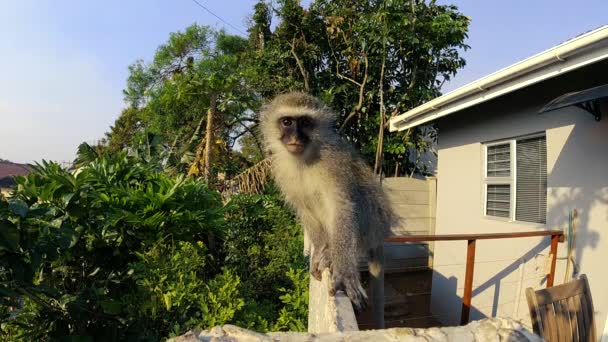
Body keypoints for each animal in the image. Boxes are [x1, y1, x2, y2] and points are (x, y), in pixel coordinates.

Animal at [258, 92, 392, 328]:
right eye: (287, 122)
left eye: (305, 123)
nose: (295, 137)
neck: (304, 159)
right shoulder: (281, 170)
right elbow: (304, 210)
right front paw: (320, 251)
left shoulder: (333, 161)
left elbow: (342, 206)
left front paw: (345, 274)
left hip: (373, 223)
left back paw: (334, 254)